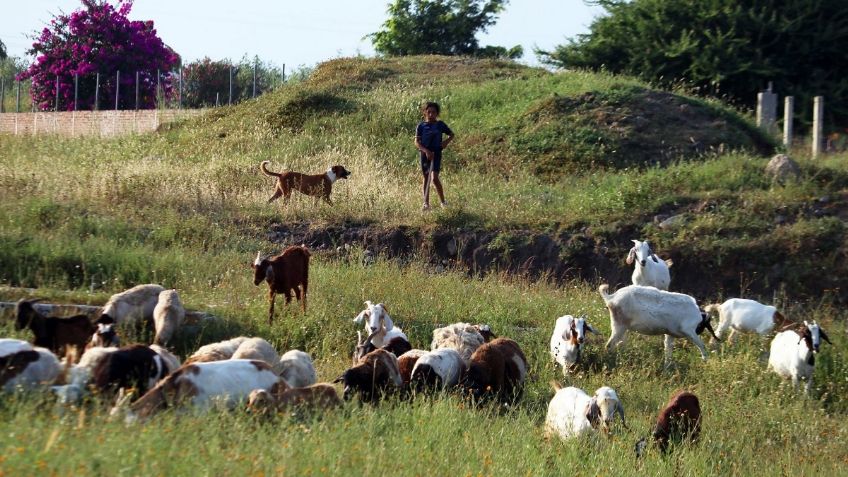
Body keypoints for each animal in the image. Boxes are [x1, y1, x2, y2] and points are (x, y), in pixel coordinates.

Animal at [596, 282, 724, 364]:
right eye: (706, 324)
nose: (700, 330)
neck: (699, 315)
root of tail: (611, 298)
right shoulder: (689, 330)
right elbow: (701, 345)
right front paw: (705, 360)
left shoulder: (670, 334)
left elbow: (668, 350)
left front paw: (668, 367)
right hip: (619, 325)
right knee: (609, 345)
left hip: (623, 328)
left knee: (618, 344)